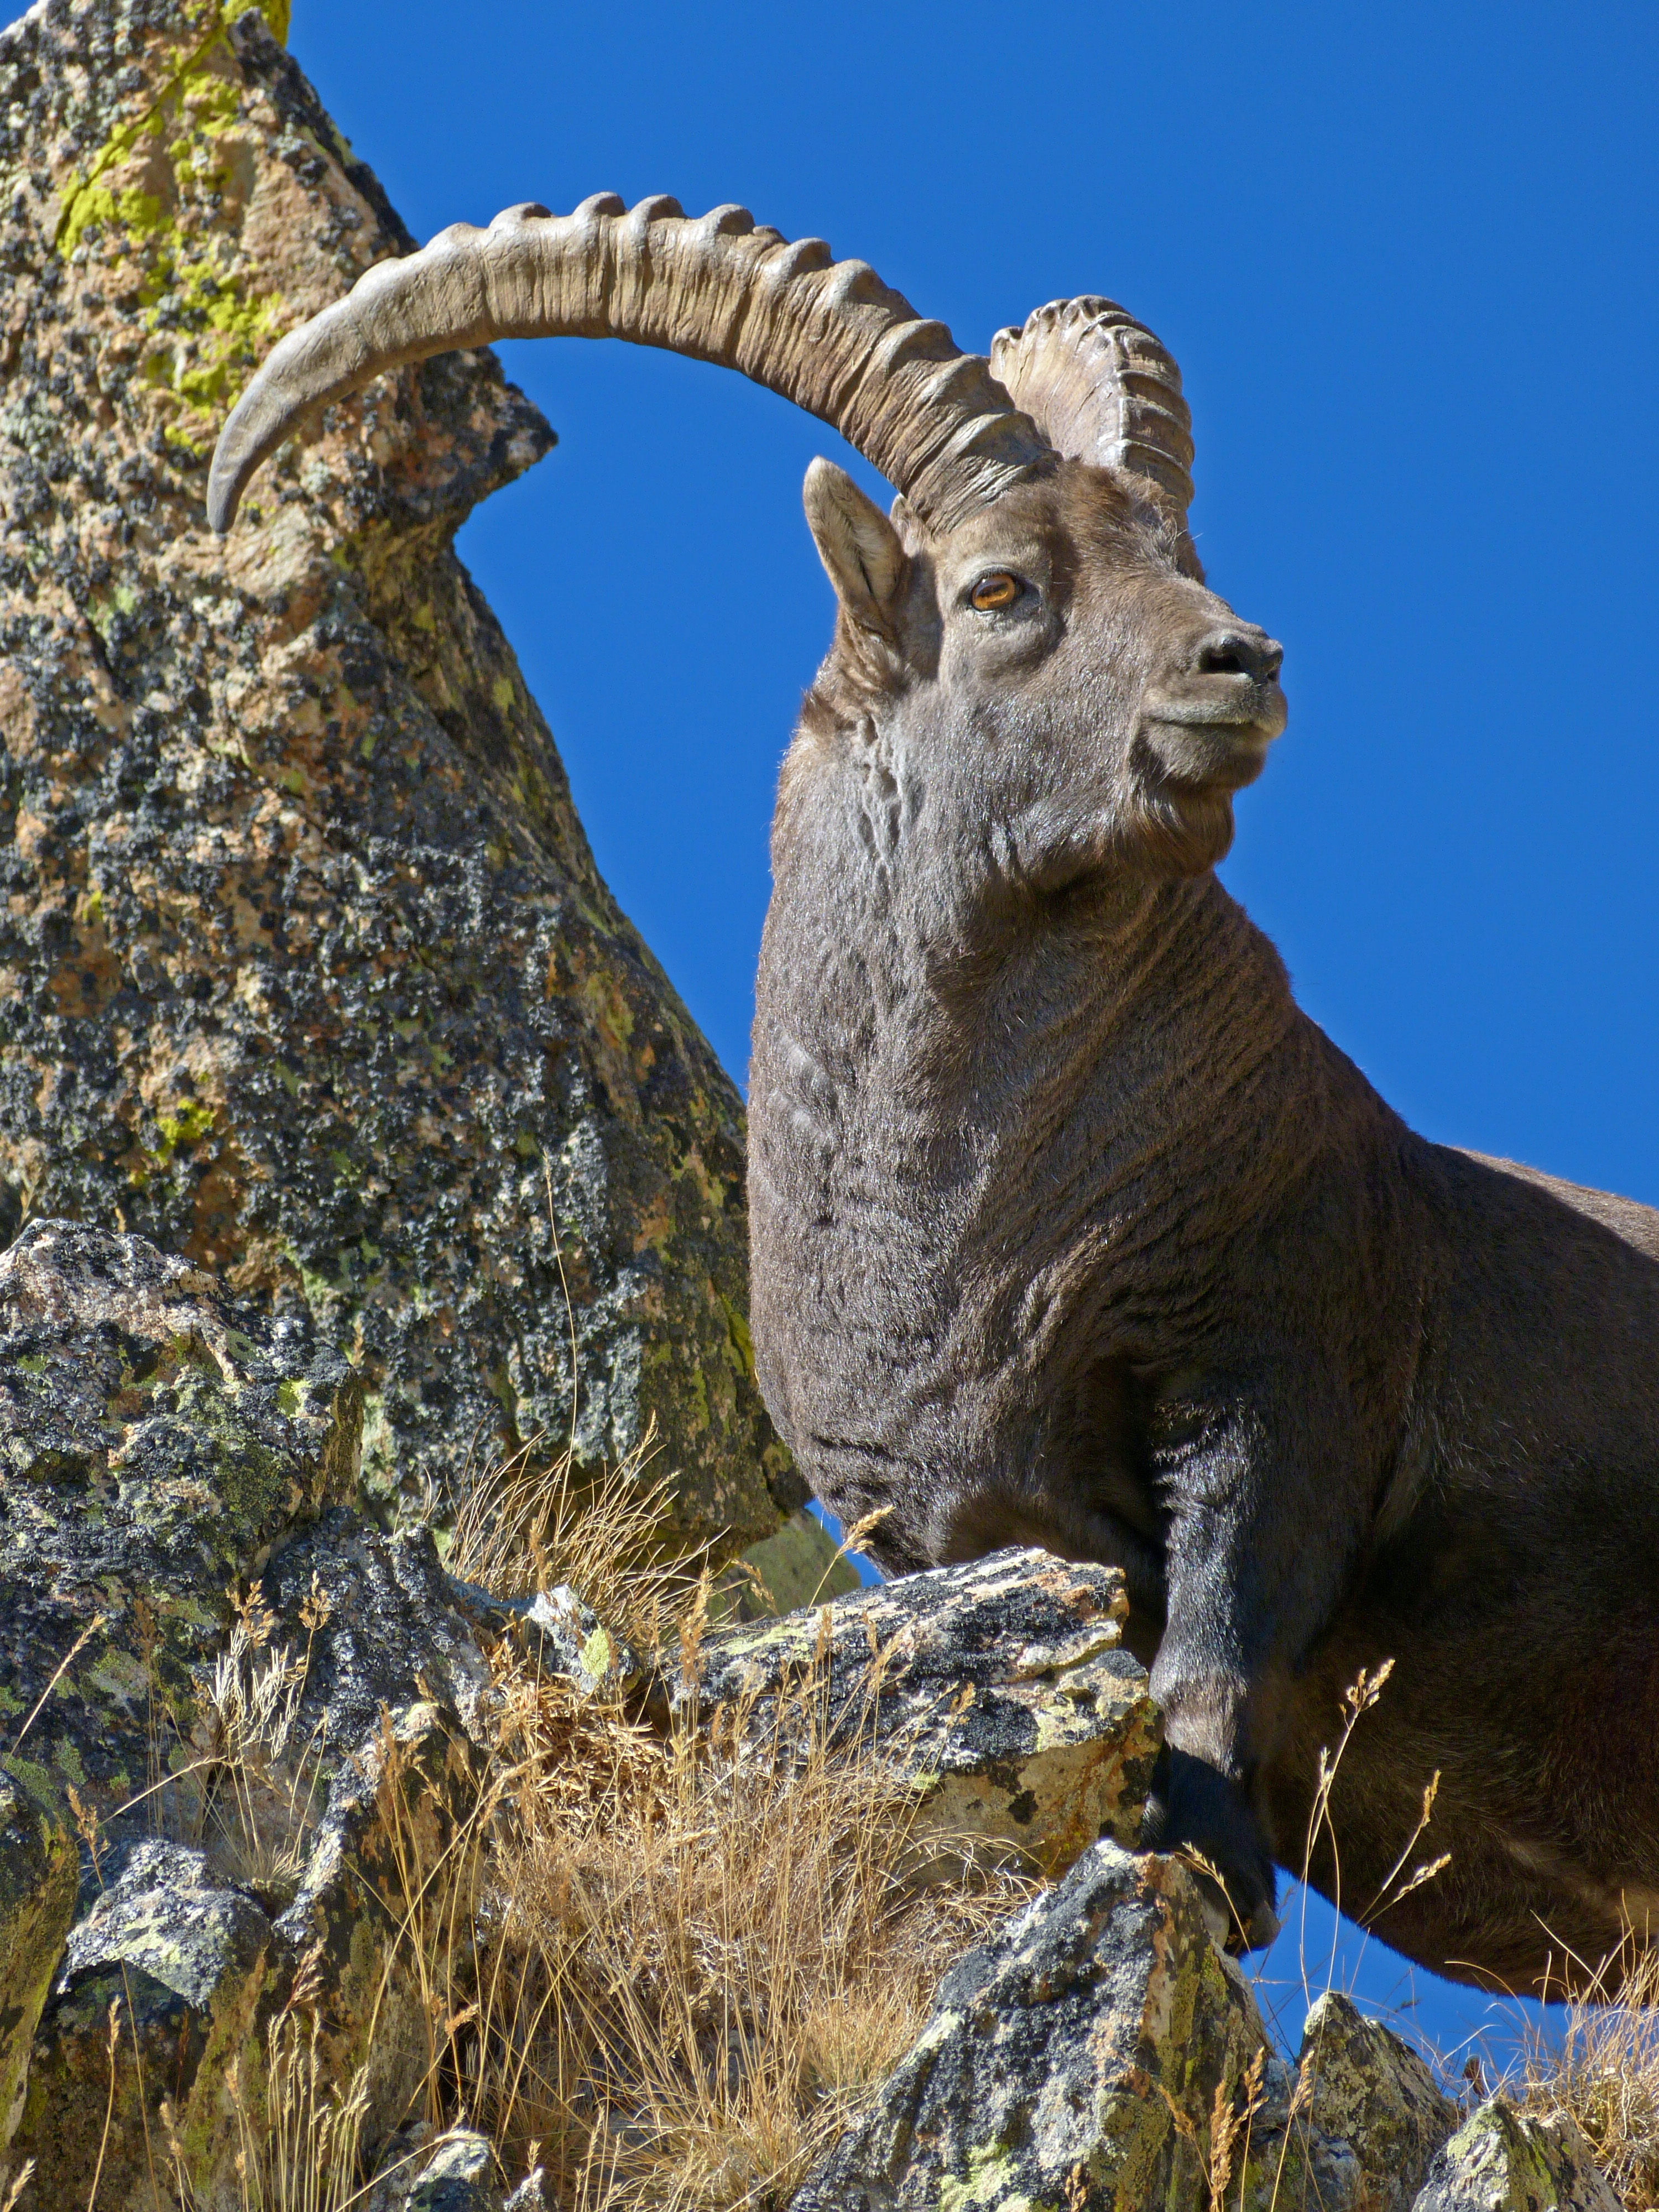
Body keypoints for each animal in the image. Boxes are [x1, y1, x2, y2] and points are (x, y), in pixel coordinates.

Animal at [210, 196, 1659, 1995]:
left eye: (1176, 550)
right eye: (997, 586)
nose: (1238, 660)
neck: (967, 1225)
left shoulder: (1279, 1381)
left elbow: (1208, 1664)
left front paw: (1212, 1880)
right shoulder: (949, 1526)